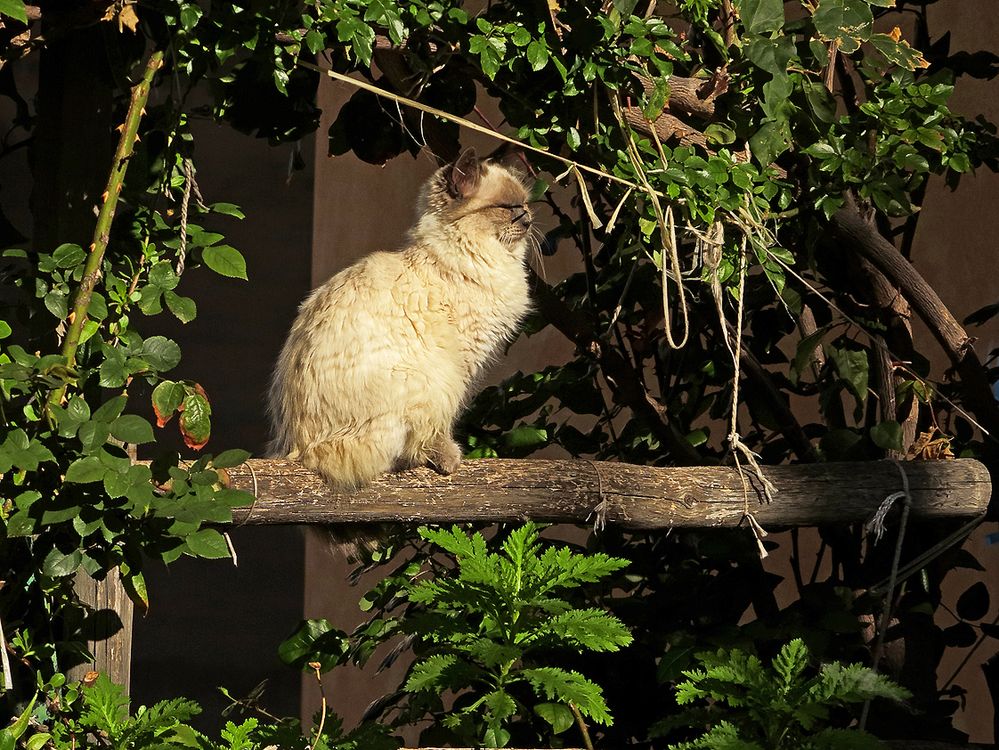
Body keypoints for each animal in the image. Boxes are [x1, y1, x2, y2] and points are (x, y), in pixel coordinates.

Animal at [266, 149, 532, 506]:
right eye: (506, 207)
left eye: (525, 204)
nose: (528, 219)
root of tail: (297, 449)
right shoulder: (460, 367)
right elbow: (442, 428)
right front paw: (450, 456)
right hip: (426, 382)